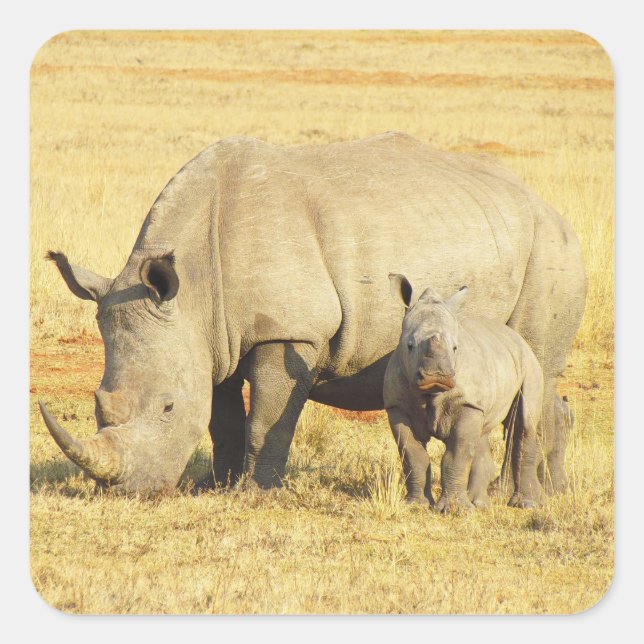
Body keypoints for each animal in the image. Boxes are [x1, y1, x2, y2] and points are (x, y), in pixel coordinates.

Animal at [384, 276, 544, 512]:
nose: (437, 376)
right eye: (409, 346)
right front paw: (415, 505)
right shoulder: (397, 405)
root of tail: (516, 337)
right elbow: (413, 455)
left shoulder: (468, 402)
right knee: (481, 435)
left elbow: (456, 454)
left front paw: (454, 510)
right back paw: (480, 504)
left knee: (524, 423)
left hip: (529, 363)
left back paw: (525, 505)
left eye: (455, 348)